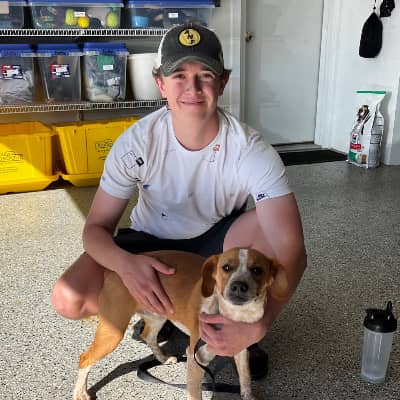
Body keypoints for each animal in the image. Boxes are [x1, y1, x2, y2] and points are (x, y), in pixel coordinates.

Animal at [72, 247, 289, 400]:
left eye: (257, 270)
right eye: (226, 267)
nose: (238, 286)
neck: (233, 317)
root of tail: (113, 271)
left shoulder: (241, 349)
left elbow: (245, 378)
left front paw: (248, 396)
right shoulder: (195, 357)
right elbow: (194, 394)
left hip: (158, 316)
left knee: (147, 335)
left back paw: (162, 358)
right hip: (113, 332)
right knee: (85, 358)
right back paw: (80, 393)